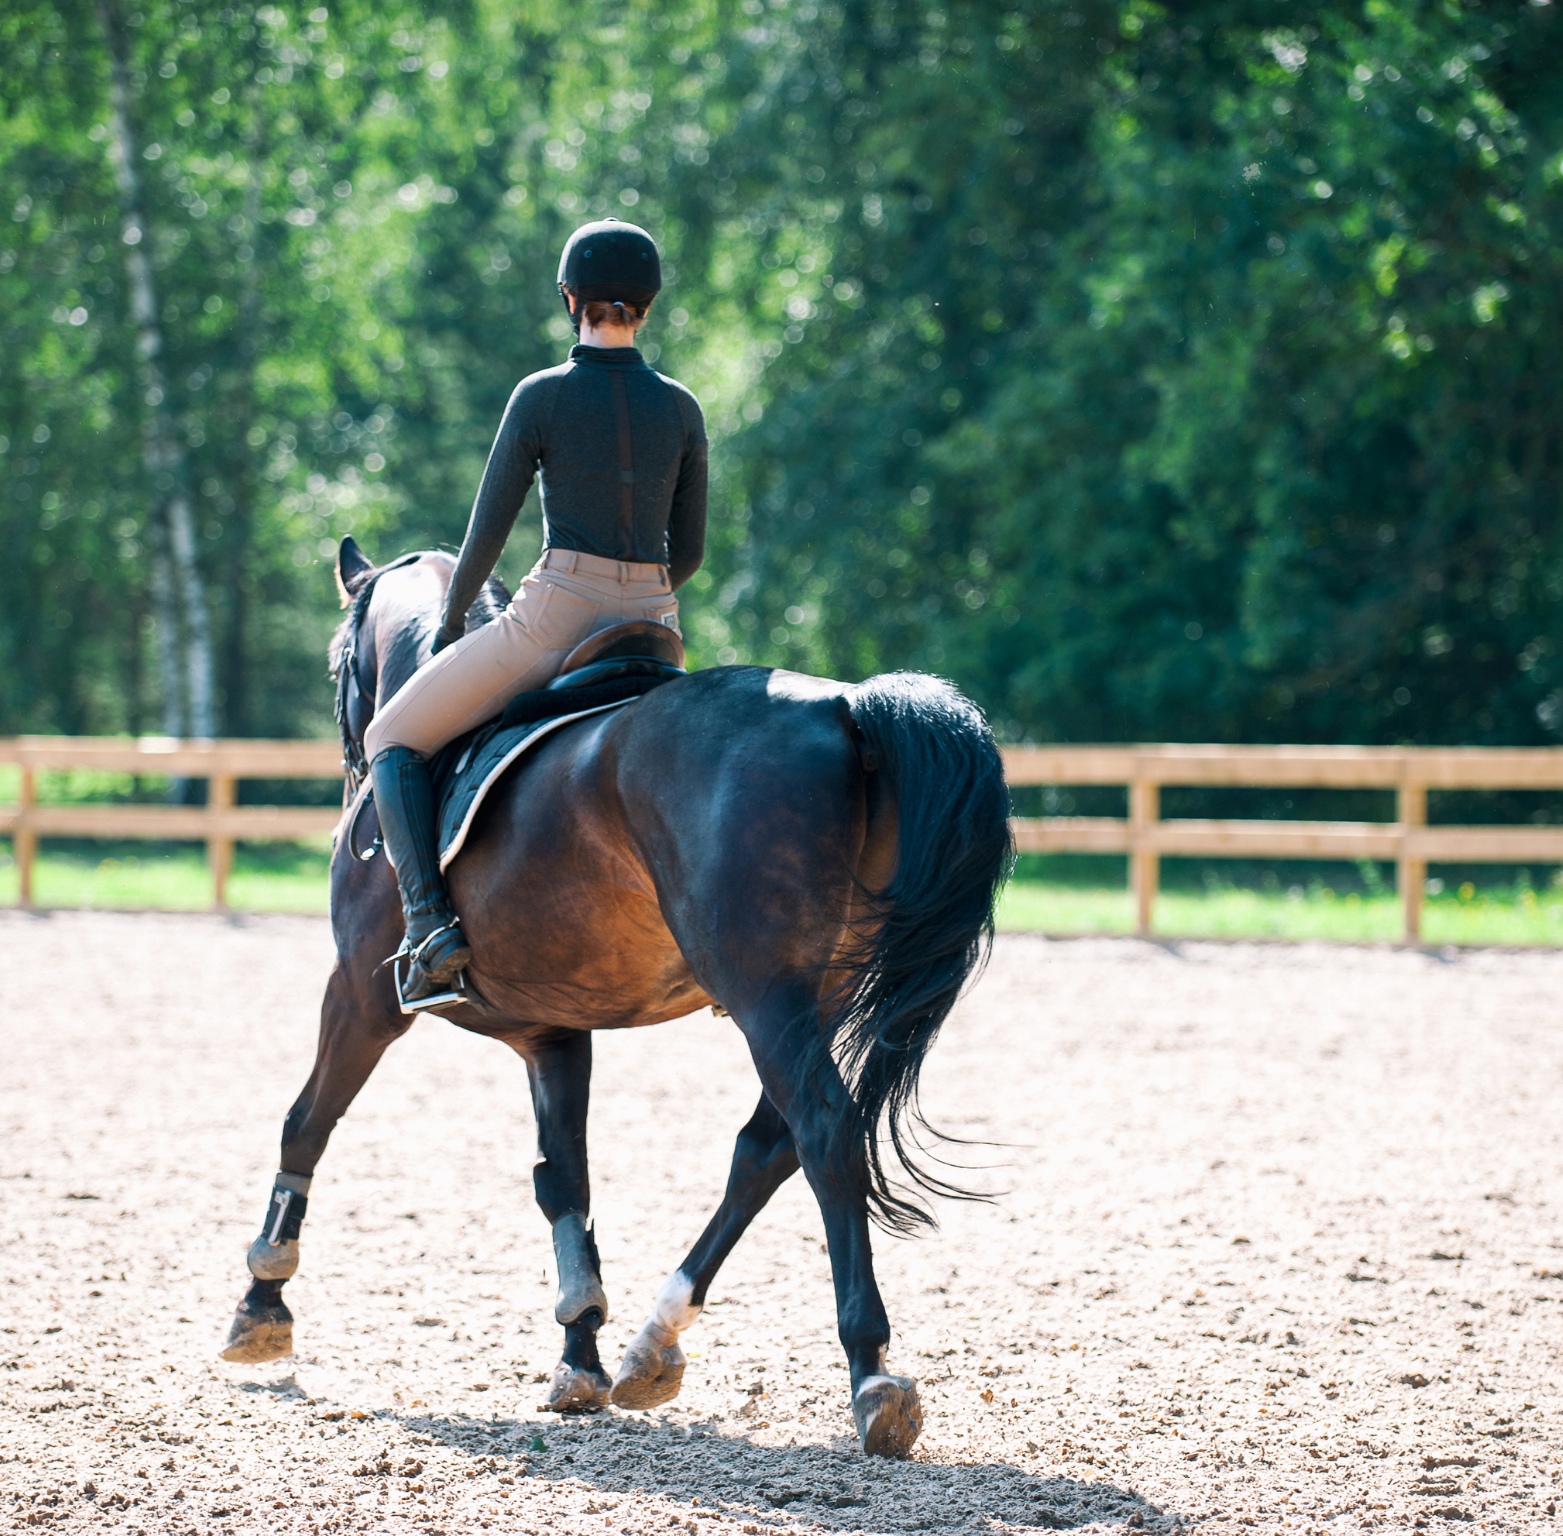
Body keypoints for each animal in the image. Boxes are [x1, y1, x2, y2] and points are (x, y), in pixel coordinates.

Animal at [220, 537, 1012, 1456]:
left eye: (336, 661)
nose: (349, 760)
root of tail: (845, 705)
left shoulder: (358, 994)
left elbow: (304, 1125)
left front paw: (261, 1304)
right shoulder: (553, 1032)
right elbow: (566, 1179)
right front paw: (580, 1352)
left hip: (766, 997)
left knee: (823, 1133)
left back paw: (871, 1372)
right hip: (815, 994)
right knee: (765, 1148)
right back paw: (652, 1343)